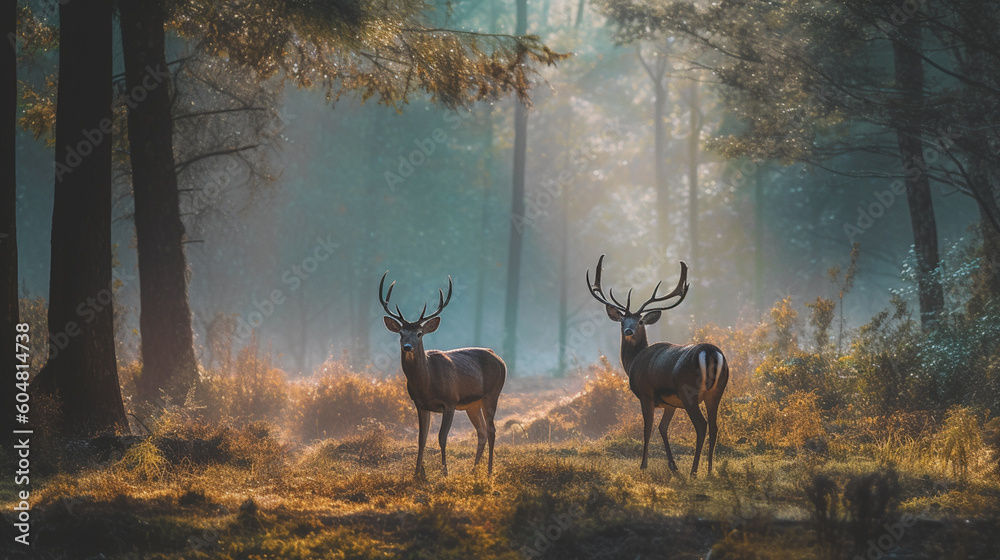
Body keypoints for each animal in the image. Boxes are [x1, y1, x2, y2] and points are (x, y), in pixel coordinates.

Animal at [379, 272, 506, 477]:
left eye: (419, 333)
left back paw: (488, 470)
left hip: (492, 393)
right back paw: (473, 469)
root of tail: (499, 358)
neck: (428, 382)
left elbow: (441, 437)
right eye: (401, 332)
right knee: (481, 431)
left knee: (492, 430)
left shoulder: (450, 401)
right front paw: (417, 473)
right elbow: (421, 439)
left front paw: (444, 471)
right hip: (473, 404)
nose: (407, 347)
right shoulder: (420, 404)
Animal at [586, 255, 728, 476]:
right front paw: (672, 465)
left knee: (701, 425)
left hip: (689, 391)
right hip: (717, 391)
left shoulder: (646, 394)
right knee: (714, 426)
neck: (632, 362)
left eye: (640, 322)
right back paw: (710, 469)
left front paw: (643, 465)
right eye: (622, 321)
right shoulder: (670, 403)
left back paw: (694, 470)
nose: (628, 331)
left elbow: (648, 429)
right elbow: (663, 428)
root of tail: (711, 353)